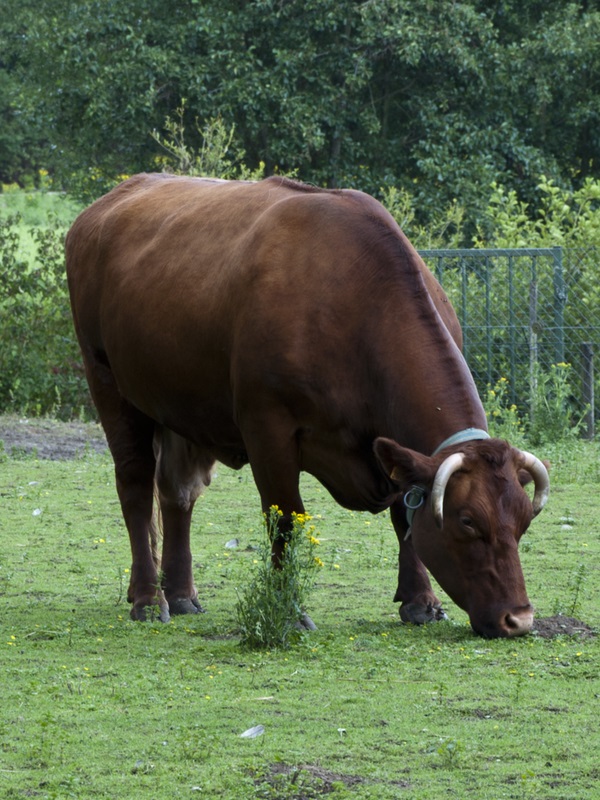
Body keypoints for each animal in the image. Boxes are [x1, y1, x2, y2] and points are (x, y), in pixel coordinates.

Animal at [65, 175, 548, 636]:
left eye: (524, 521)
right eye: (467, 521)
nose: (519, 619)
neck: (355, 303)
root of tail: (105, 205)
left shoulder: (392, 444)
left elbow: (405, 517)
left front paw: (420, 601)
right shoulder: (267, 427)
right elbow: (286, 519)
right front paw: (290, 609)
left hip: (181, 406)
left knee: (177, 494)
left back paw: (180, 593)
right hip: (108, 383)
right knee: (135, 486)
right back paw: (149, 598)